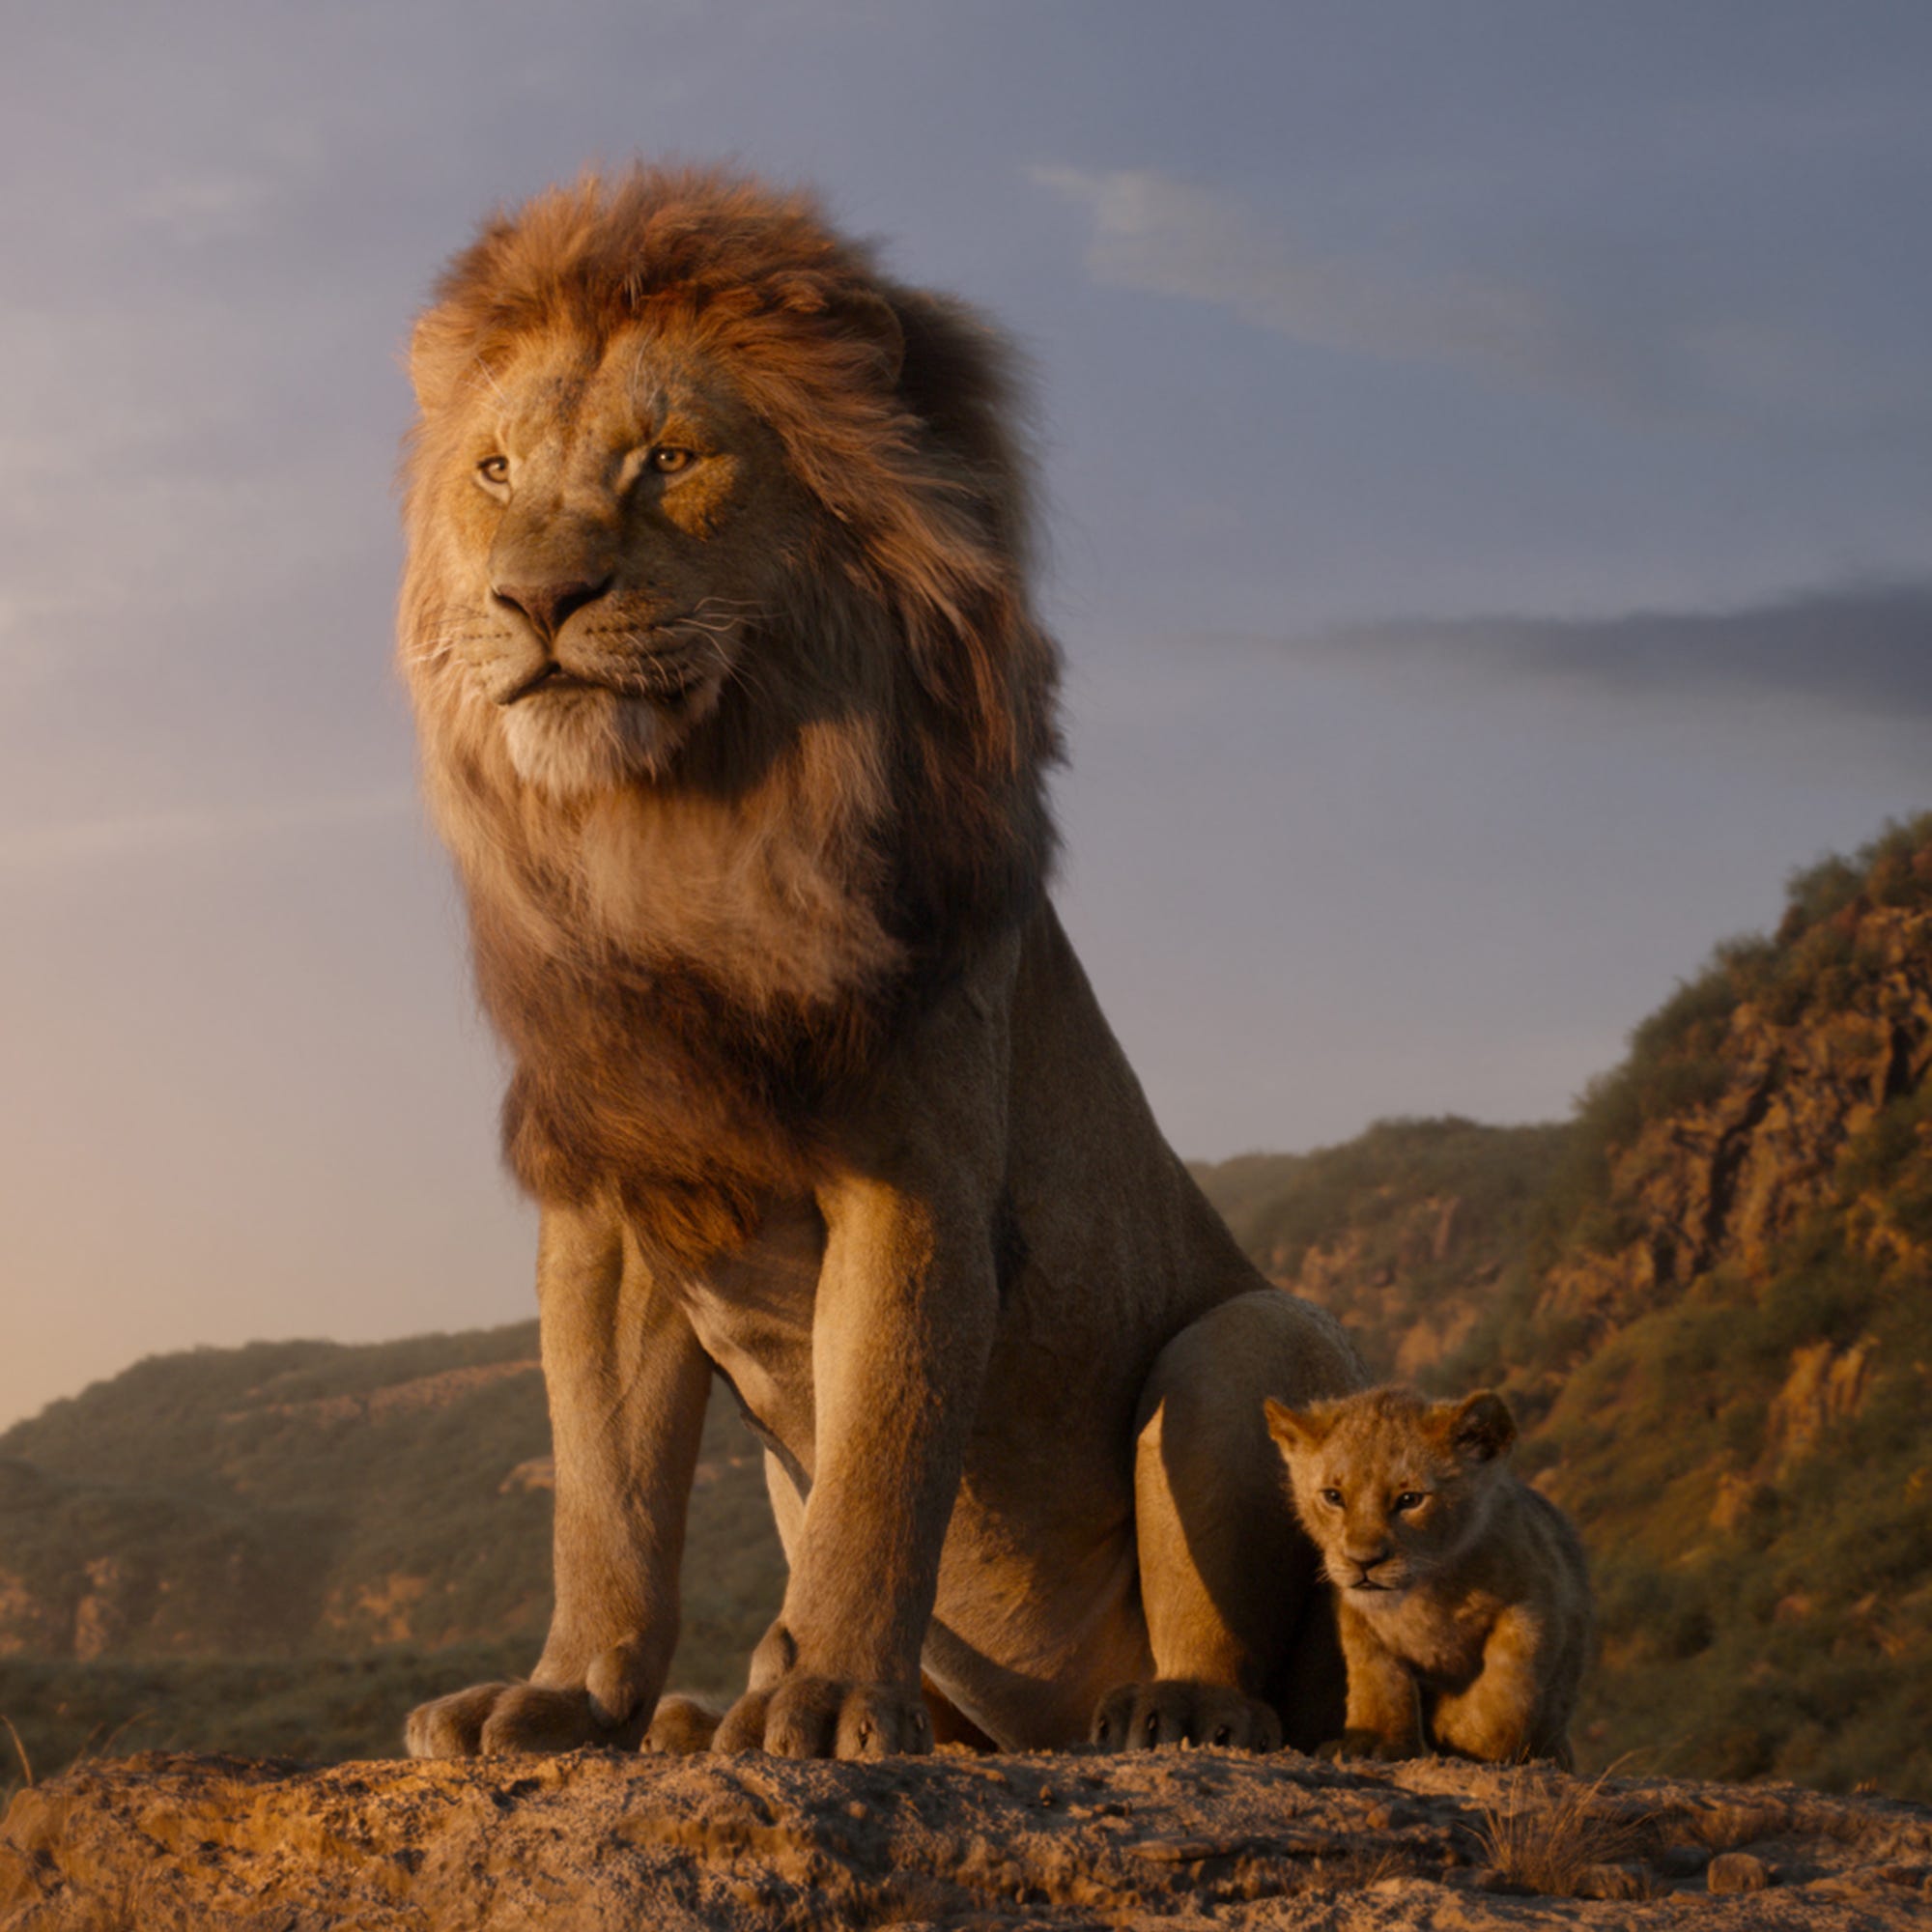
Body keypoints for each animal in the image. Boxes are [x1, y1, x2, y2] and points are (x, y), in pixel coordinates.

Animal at [396, 166, 1364, 1761]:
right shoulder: (612, 1200)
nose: (534, 600)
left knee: (1246, 1660)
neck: (680, 836)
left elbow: (883, 1462)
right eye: (493, 473)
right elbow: (605, 1497)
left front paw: (832, 1696)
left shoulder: (916, 1179)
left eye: (669, 460)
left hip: (1249, 1341)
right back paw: (701, 1718)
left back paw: (1168, 1712)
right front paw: (567, 1697)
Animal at [1265, 1386, 1592, 1766]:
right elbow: (1377, 1679)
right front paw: (1371, 1742)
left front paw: (1467, 1733)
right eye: (1333, 1496)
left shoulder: (1534, 1603)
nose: (1363, 1562)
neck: (1427, 1592)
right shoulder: (1358, 1617)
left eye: (1410, 1500)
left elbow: (1506, 1683)